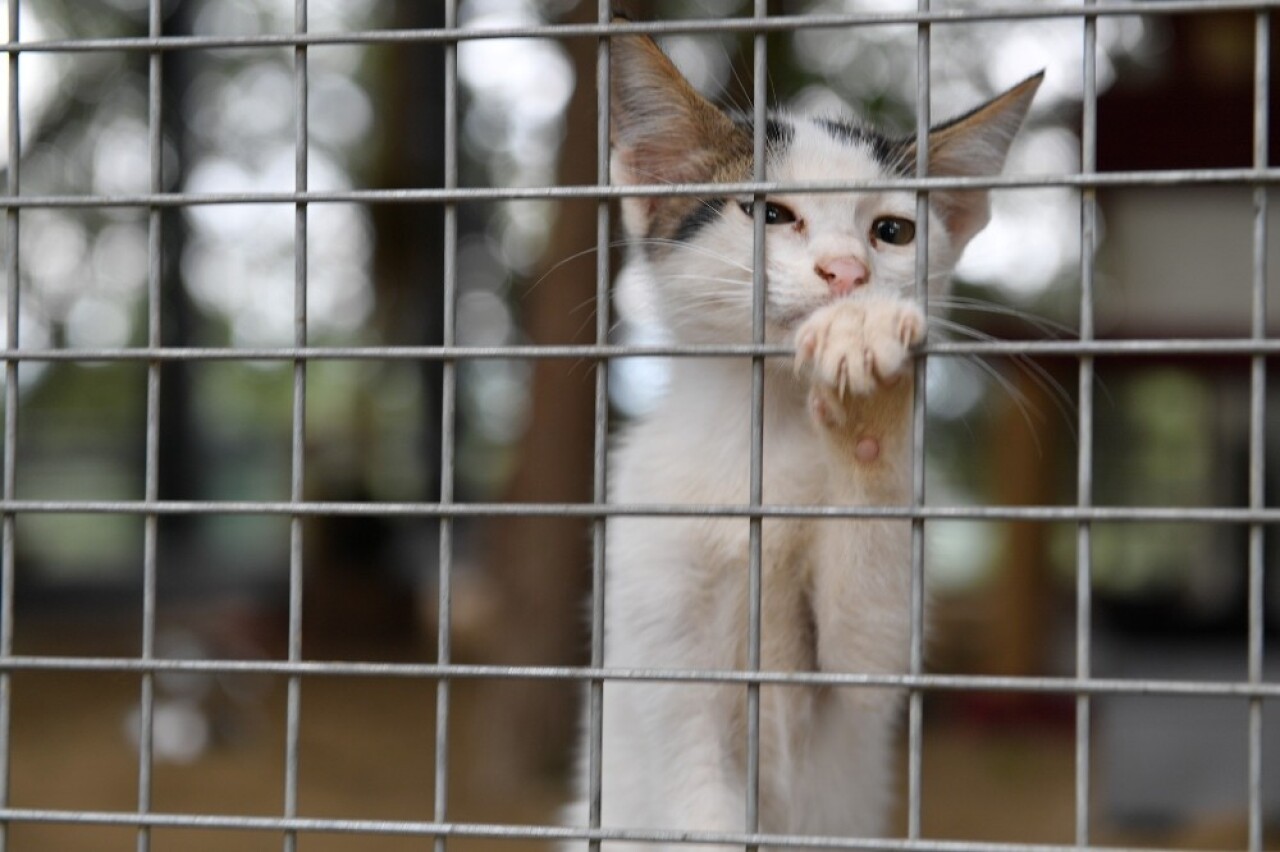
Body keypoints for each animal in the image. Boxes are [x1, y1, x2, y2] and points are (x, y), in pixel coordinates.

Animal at [565, 26, 1044, 849]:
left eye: (892, 232)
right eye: (771, 215)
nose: (847, 271)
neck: (772, 435)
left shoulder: (871, 660)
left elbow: (868, 654)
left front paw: (870, 394)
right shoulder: (653, 624)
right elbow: (692, 786)